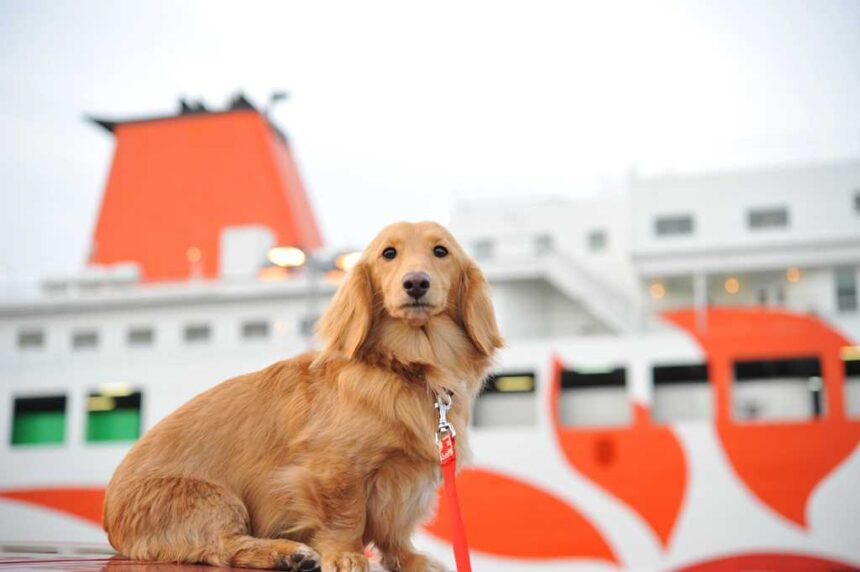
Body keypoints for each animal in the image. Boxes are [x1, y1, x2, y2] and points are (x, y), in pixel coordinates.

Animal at [101, 222, 504, 572]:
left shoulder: (406, 487)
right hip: (214, 501)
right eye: (388, 253)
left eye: (441, 251)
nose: (416, 283)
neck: (407, 366)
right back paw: (287, 553)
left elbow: (395, 533)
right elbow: (346, 517)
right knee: (225, 547)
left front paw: (410, 559)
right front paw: (346, 555)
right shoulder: (333, 470)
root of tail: (110, 515)